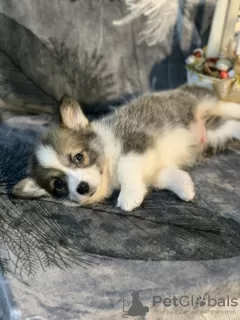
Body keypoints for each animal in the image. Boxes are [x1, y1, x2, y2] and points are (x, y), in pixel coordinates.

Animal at [12, 84, 240, 210]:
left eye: (78, 157)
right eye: (58, 184)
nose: (81, 187)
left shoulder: (135, 142)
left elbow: (125, 167)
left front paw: (129, 196)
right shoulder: (155, 169)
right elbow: (168, 177)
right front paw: (185, 188)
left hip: (201, 100)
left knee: (224, 105)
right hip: (214, 135)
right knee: (229, 125)